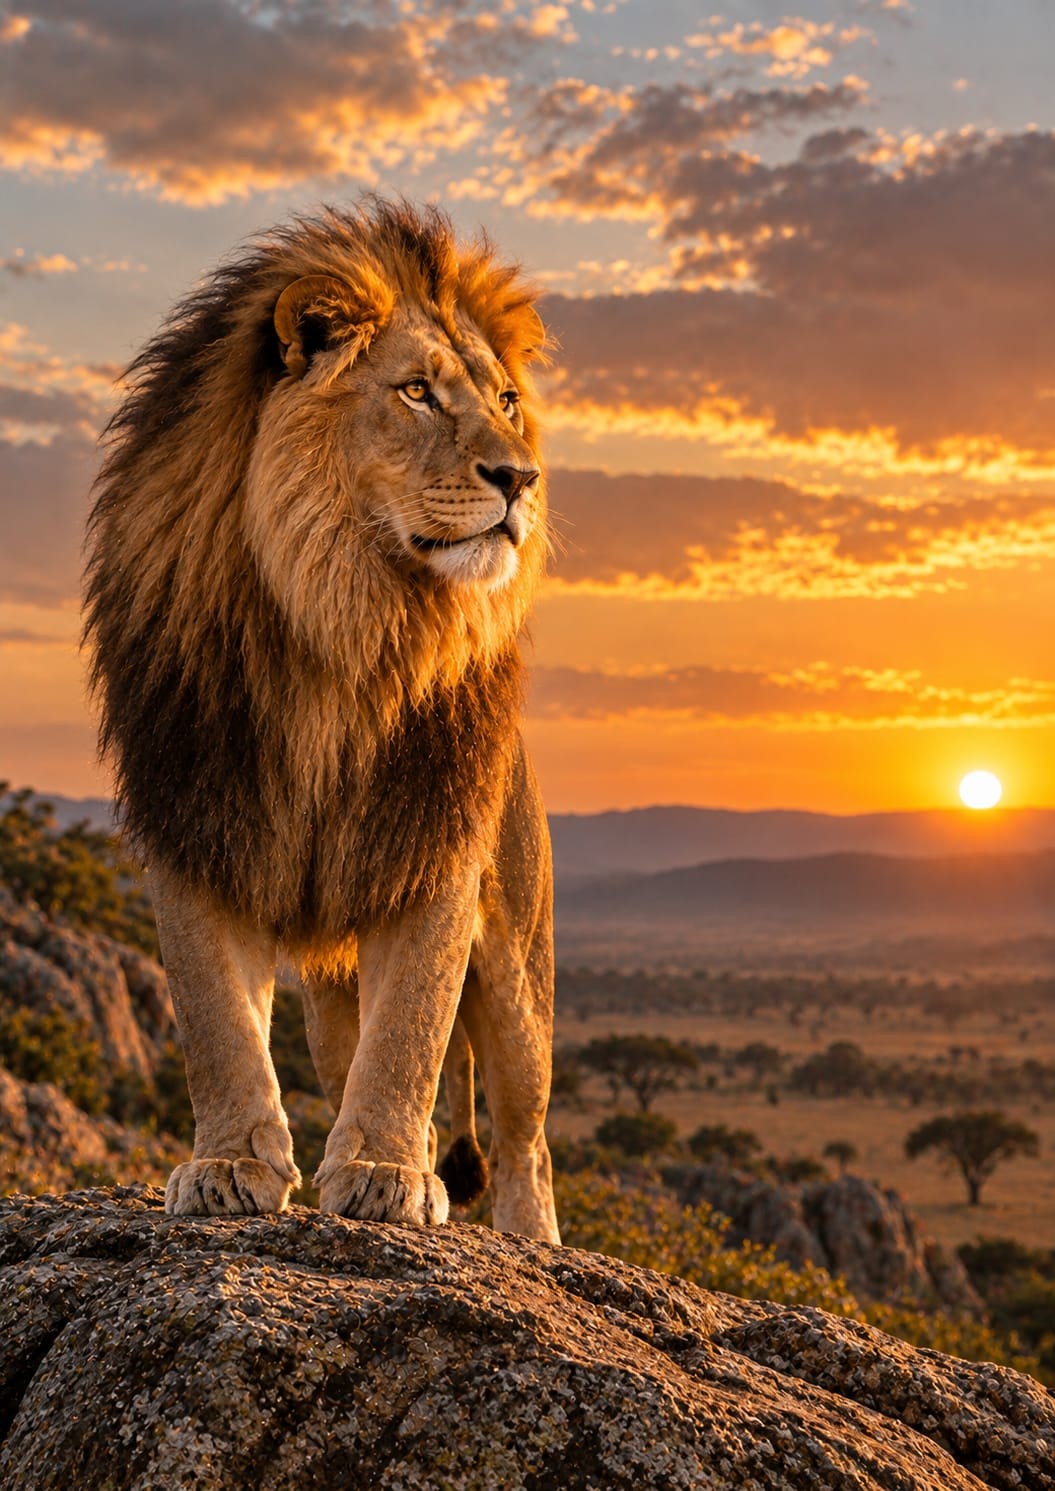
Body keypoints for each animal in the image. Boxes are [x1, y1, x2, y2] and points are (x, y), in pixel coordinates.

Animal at [83, 200, 560, 1243]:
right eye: (416, 392)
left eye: (506, 401)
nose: (520, 478)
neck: (343, 623)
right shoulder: (197, 820)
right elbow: (216, 1018)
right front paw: (230, 1165)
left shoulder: (427, 836)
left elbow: (414, 1027)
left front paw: (385, 1176)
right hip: (331, 992)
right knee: (350, 1059)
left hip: (519, 967)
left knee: (523, 1133)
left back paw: (528, 1236)